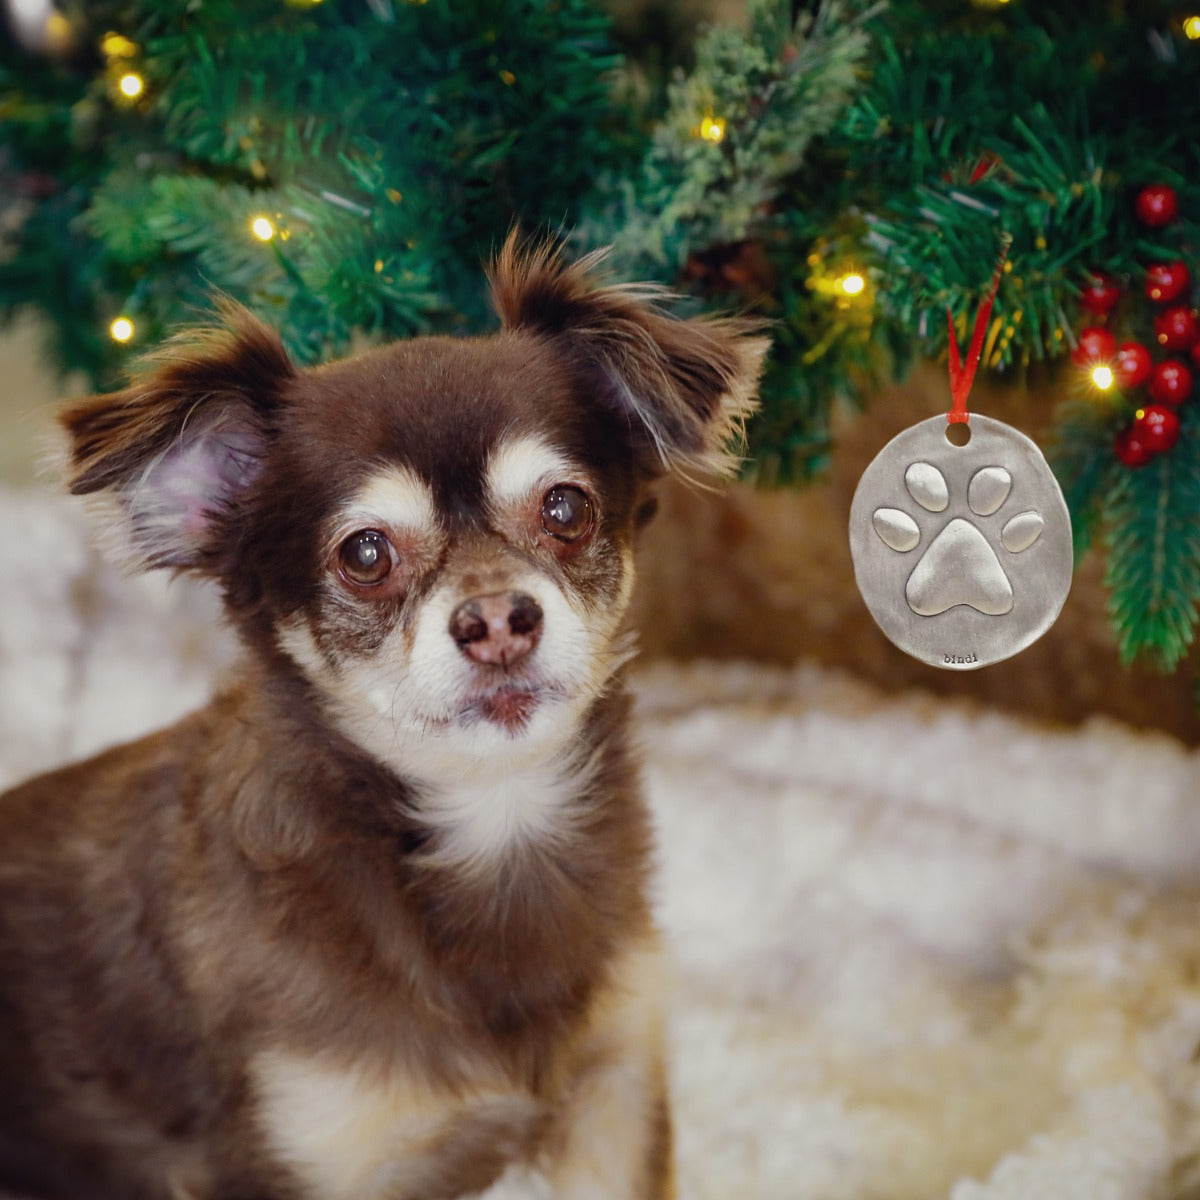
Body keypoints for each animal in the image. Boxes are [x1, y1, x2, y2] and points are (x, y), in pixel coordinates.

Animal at [0, 236, 768, 1200]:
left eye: (566, 508)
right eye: (365, 554)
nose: (498, 620)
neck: (488, 828)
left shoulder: (615, 1090)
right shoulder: (287, 1154)